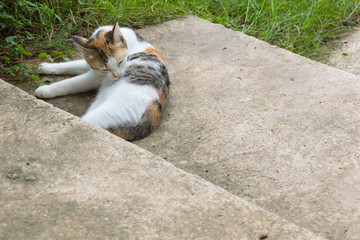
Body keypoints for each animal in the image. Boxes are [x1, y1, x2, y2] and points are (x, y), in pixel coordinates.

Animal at [35, 22, 171, 141]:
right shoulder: (92, 67)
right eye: (105, 68)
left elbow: (70, 83)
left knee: (89, 121)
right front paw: (46, 67)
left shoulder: (94, 77)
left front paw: (45, 89)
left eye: (120, 62)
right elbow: (71, 65)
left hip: (112, 110)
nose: (118, 76)